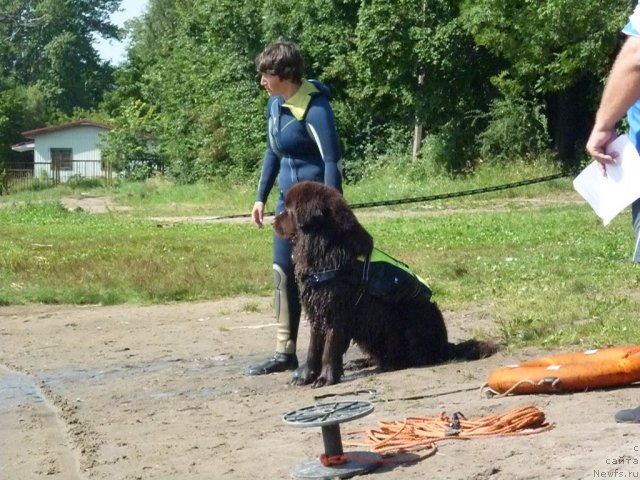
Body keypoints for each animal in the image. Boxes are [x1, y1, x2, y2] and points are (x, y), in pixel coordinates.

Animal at [272, 180, 498, 386]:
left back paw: (391, 364)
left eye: (289, 211)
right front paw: (305, 376)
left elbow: (329, 347)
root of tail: (445, 345)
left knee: (417, 356)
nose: (273, 219)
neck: (324, 247)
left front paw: (325, 378)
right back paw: (362, 362)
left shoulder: (338, 310)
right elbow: (313, 347)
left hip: (413, 315)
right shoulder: (318, 307)